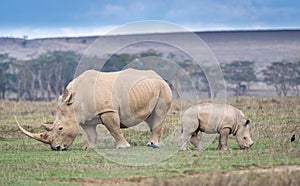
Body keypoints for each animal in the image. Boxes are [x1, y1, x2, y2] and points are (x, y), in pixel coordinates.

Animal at [17, 69, 171, 150]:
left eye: (60, 128)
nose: (56, 148)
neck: (74, 104)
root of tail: (159, 76)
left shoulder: (107, 110)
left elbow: (114, 129)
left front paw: (123, 147)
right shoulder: (85, 118)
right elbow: (91, 134)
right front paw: (88, 148)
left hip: (163, 88)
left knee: (158, 114)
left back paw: (152, 145)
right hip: (151, 88)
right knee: (151, 119)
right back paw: (158, 144)